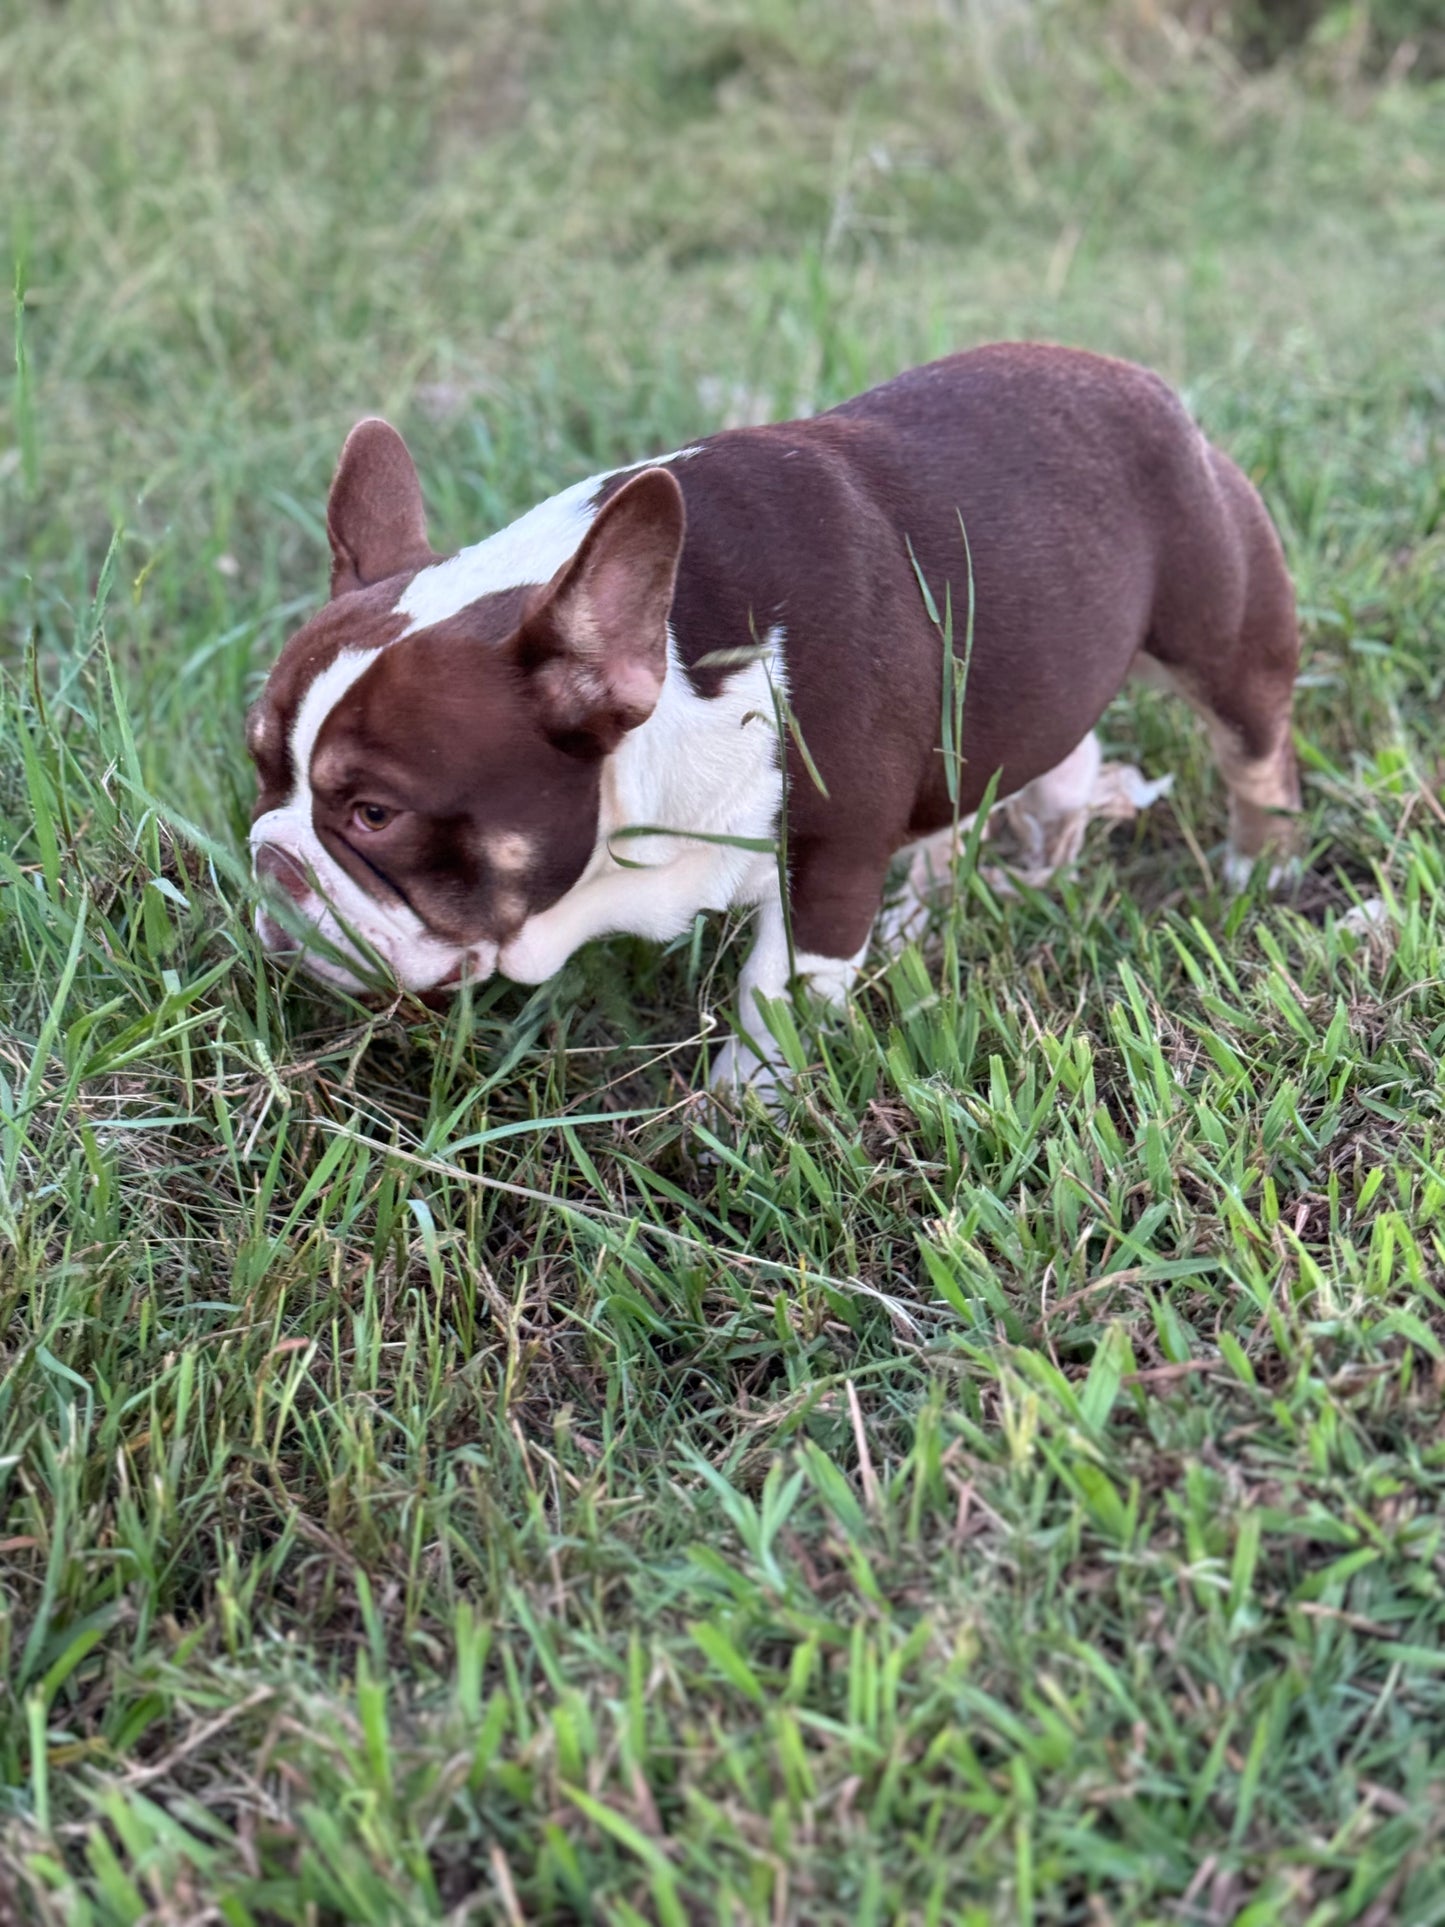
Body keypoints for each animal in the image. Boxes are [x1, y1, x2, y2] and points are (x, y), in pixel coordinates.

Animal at [246, 344, 1302, 1094]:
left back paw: (1260, 864)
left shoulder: (828, 863)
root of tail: (1137, 380)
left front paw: (738, 1109)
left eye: (375, 814)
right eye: (260, 769)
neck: (673, 673)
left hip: (1223, 635)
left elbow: (774, 996)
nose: (270, 859)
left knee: (1253, 749)